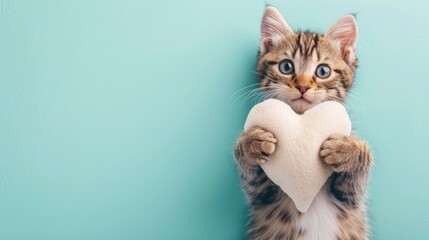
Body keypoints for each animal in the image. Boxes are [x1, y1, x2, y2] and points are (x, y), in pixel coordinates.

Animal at [234, 5, 372, 240]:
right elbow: (254, 183)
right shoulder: (263, 198)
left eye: (323, 71)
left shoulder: (350, 200)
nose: (303, 87)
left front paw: (347, 149)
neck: (301, 117)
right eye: (286, 67)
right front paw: (250, 142)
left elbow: (357, 179)